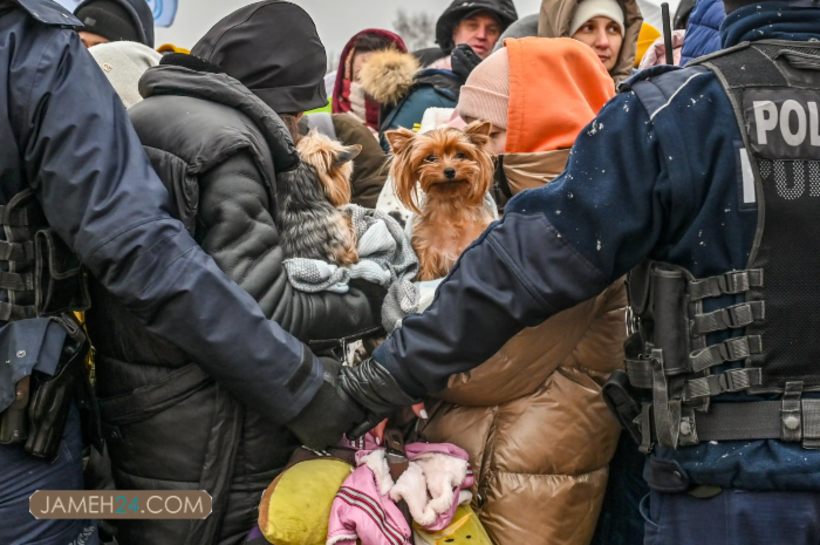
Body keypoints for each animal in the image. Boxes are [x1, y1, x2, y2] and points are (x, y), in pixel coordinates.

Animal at [390, 120, 496, 280]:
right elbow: (427, 274)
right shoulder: (426, 247)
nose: (450, 171)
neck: (450, 202)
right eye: (430, 158)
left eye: (460, 155)